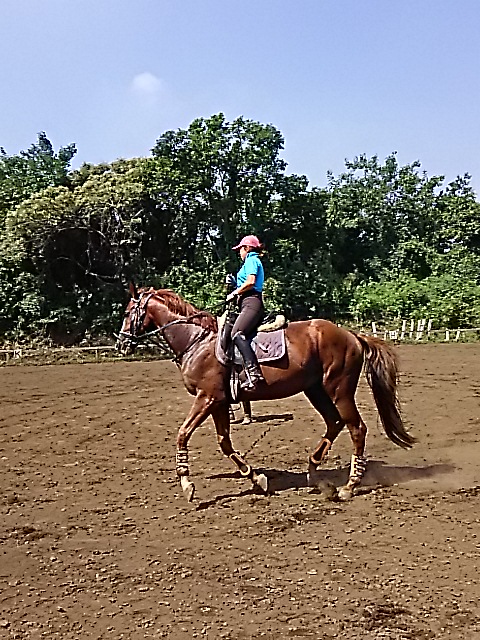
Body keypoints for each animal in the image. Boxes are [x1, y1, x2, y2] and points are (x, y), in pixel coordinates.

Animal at [116, 284, 415, 502]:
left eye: (130, 311)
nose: (121, 344)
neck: (196, 340)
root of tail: (351, 335)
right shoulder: (219, 402)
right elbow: (225, 443)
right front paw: (256, 478)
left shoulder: (207, 398)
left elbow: (183, 434)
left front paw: (187, 484)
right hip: (315, 390)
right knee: (335, 422)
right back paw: (313, 471)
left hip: (339, 390)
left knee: (356, 428)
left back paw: (348, 487)